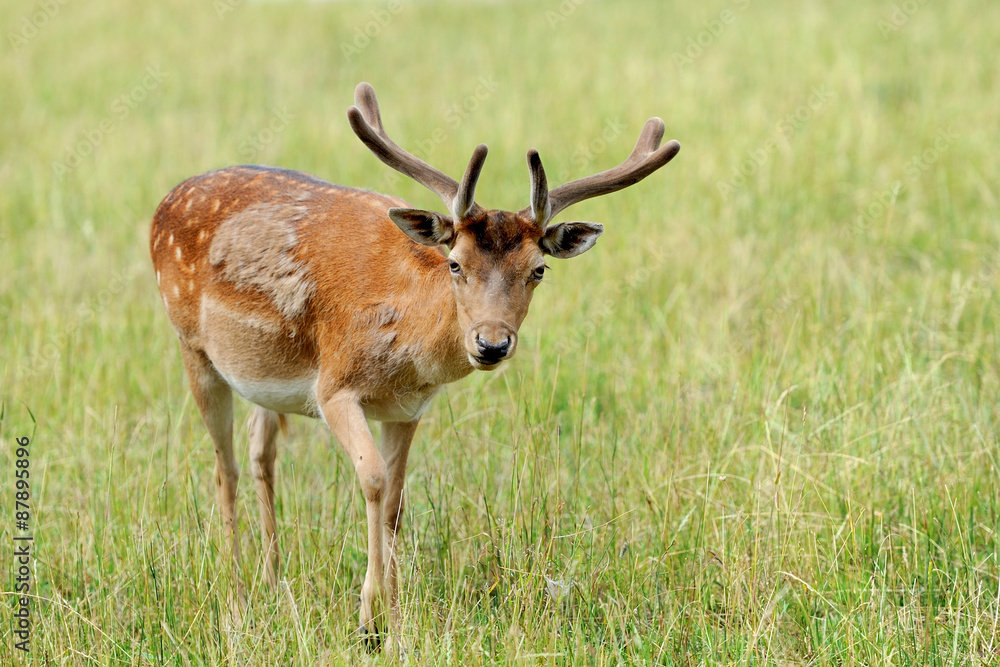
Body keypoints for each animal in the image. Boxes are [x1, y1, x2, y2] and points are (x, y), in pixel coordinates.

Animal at [148, 81, 680, 648]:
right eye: (456, 264)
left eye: (538, 270)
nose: (491, 343)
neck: (407, 344)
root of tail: (165, 202)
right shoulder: (333, 386)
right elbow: (373, 480)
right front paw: (368, 623)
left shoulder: (409, 408)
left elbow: (397, 501)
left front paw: (395, 621)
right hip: (192, 347)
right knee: (223, 466)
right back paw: (237, 599)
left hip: (264, 379)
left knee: (259, 452)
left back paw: (274, 583)